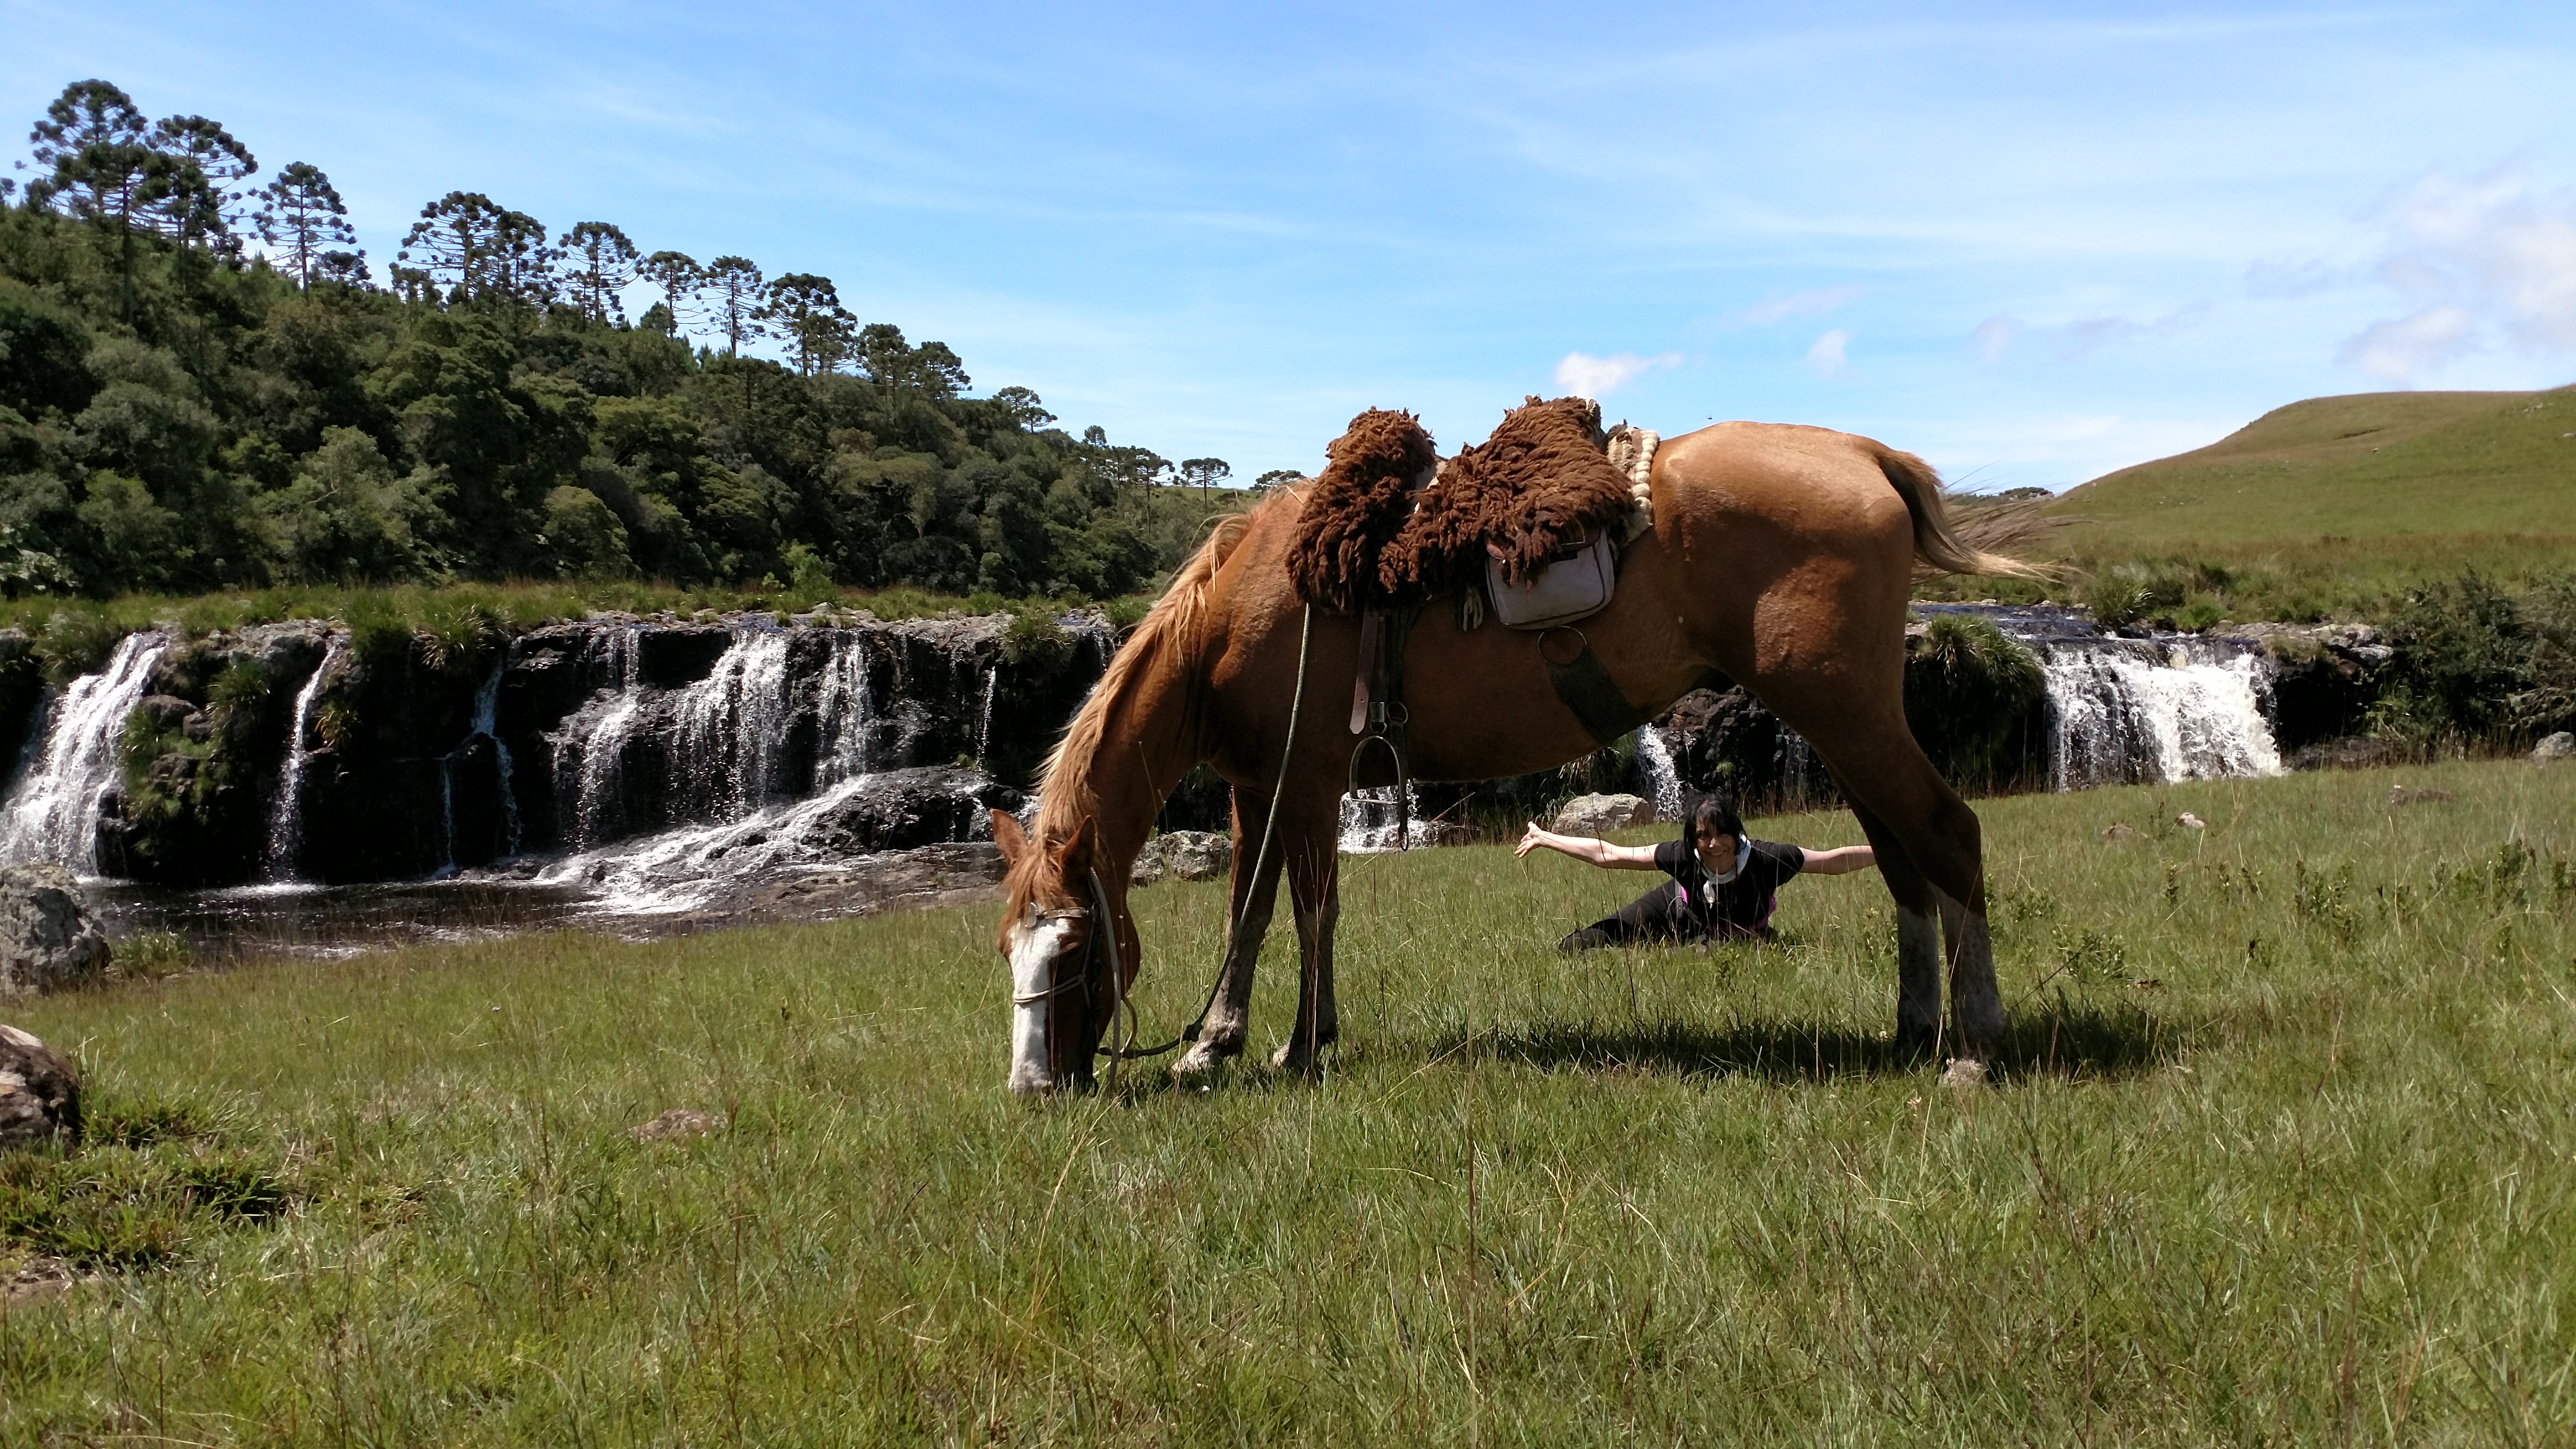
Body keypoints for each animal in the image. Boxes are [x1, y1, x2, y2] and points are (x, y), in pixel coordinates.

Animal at [992, 416, 2029, 1094]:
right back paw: (1914, 1029)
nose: (1034, 1088)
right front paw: (1218, 1042)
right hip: (1842, 719)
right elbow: (1245, 914)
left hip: (1843, 709)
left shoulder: (1310, 780)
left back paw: (1973, 1046)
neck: (1241, 613)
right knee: (1900, 854)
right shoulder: (1261, 785)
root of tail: (1864, 455)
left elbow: (1309, 913)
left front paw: (1302, 1045)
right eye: (1010, 950)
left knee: (1947, 833)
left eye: (1076, 949)